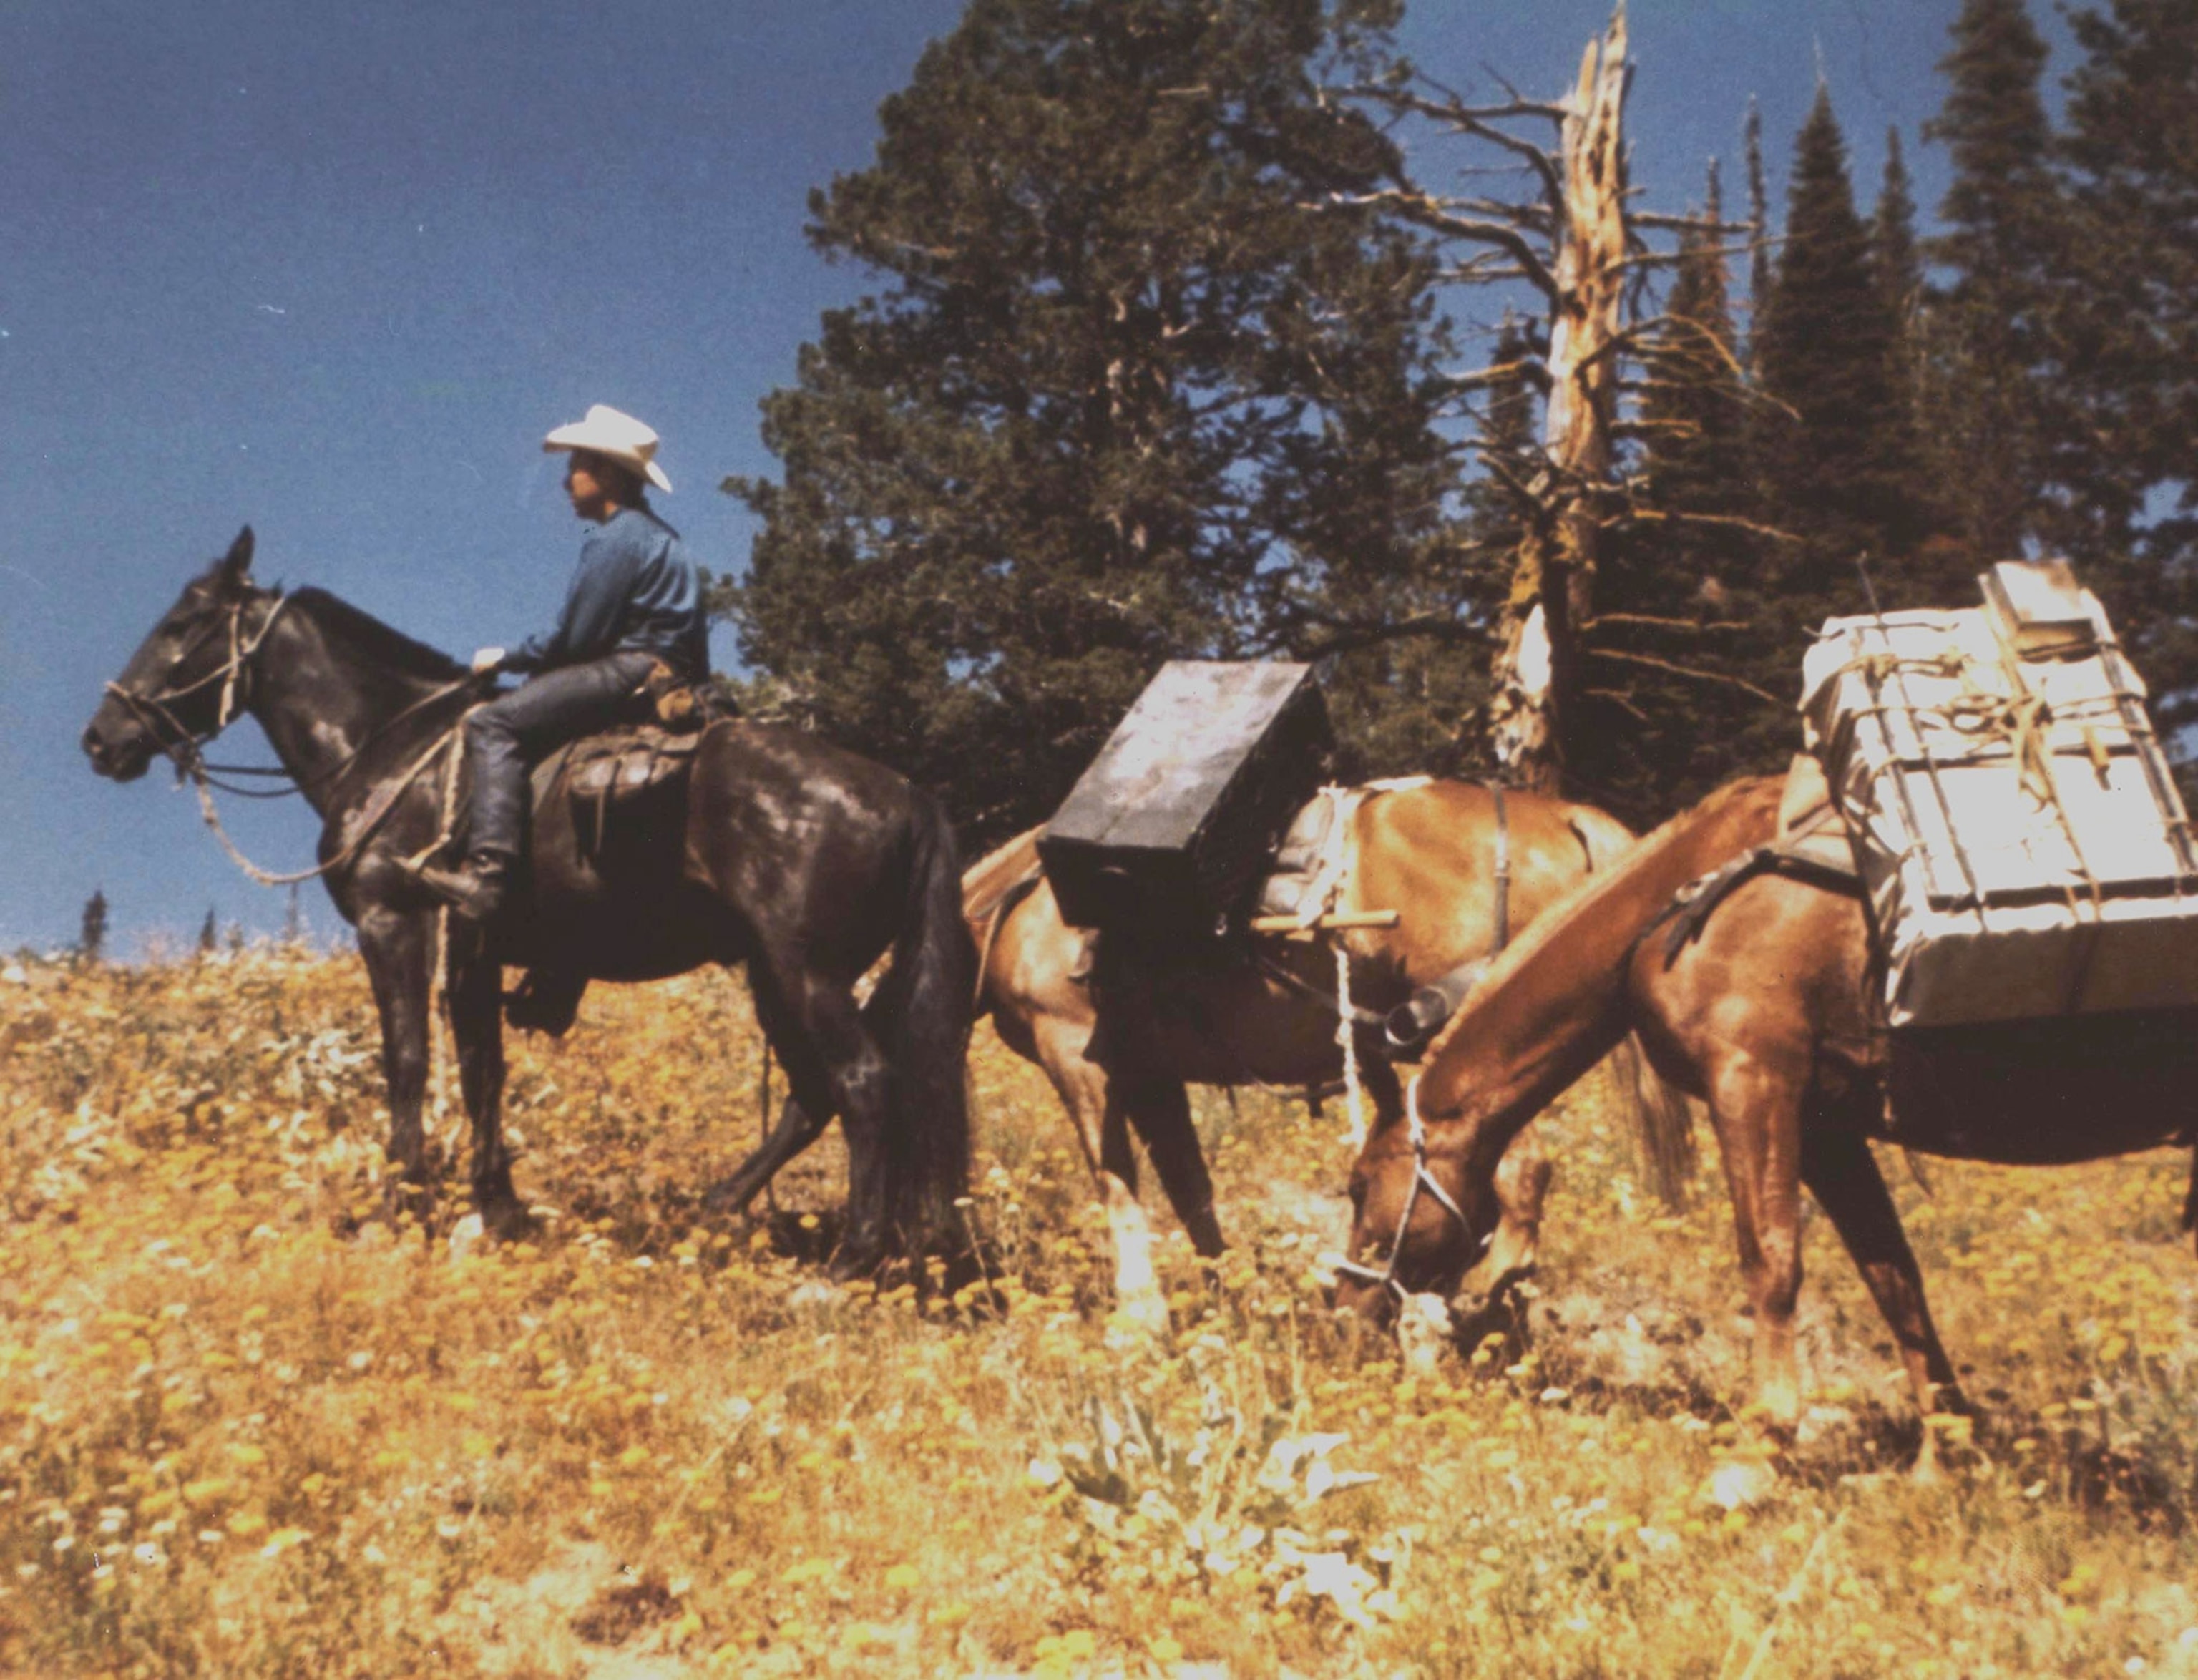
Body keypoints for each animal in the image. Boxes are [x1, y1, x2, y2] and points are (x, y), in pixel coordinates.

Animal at [82, 529, 976, 1269]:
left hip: (807, 971)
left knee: (864, 1081)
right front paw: (498, 1210)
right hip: (771, 973)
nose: (101, 739)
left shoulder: (393, 923)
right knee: (813, 1094)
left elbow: (409, 1061)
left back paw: (851, 1259)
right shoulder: (472, 951)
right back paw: (713, 1210)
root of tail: (906, 795)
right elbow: (485, 1070)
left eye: (182, 622)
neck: (386, 741)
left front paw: (401, 1205)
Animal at [738, 781, 1688, 1331]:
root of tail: (1558, 814)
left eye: (815, 1089)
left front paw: (1139, 1314)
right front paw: (1225, 1297)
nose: (729, 1198)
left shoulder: (1078, 1053)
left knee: (1520, 1174)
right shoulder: (1154, 1072)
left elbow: (1115, 1178)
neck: (1019, 910)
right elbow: (1191, 1188)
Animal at [1335, 772, 2198, 1430]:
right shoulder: (1827, 1128)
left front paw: (1764, 1442)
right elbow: (1894, 1277)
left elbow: (1771, 1261)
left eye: (1360, 1184)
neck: (1682, 903)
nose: (1338, 1302)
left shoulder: (1752, 1084)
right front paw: (1941, 1456)